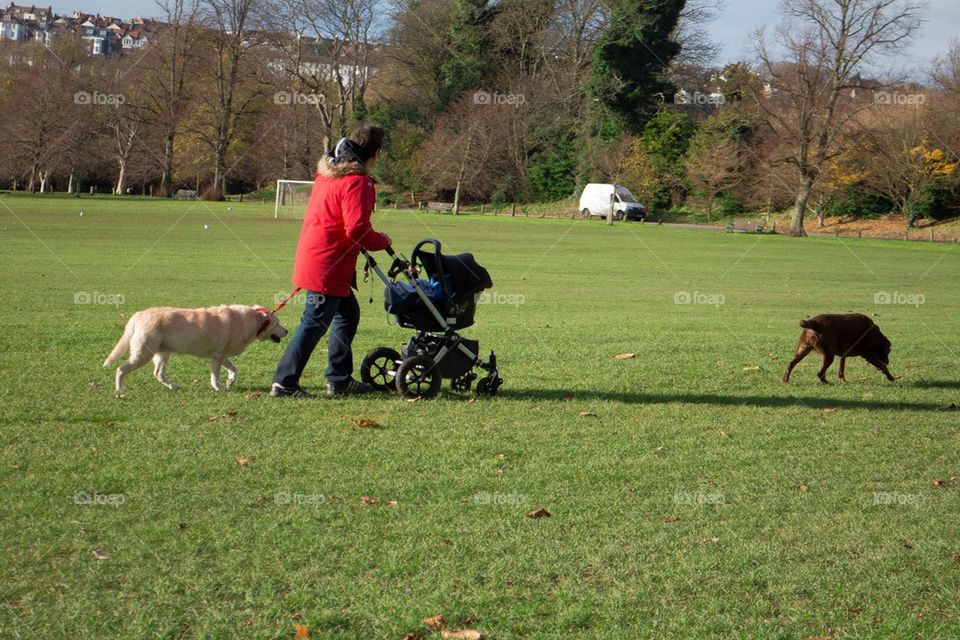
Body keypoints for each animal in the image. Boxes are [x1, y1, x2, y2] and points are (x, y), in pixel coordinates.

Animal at [104, 306, 286, 392]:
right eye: (277, 323)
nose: (286, 331)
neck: (251, 322)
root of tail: (140, 314)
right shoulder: (217, 356)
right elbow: (215, 376)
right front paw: (219, 387)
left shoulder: (221, 356)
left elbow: (234, 370)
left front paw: (230, 382)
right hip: (143, 354)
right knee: (120, 369)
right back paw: (119, 390)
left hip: (163, 354)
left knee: (158, 374)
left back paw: (173, 386)